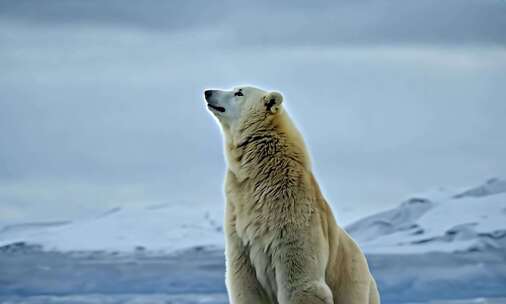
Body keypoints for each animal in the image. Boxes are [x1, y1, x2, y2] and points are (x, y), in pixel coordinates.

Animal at [204, 86, 378, 304]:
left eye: (239, 92)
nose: (208, 92)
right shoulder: (239, 223)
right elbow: (245, 282)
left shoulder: (291, 214)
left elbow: (300, 282)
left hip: (350, 281)